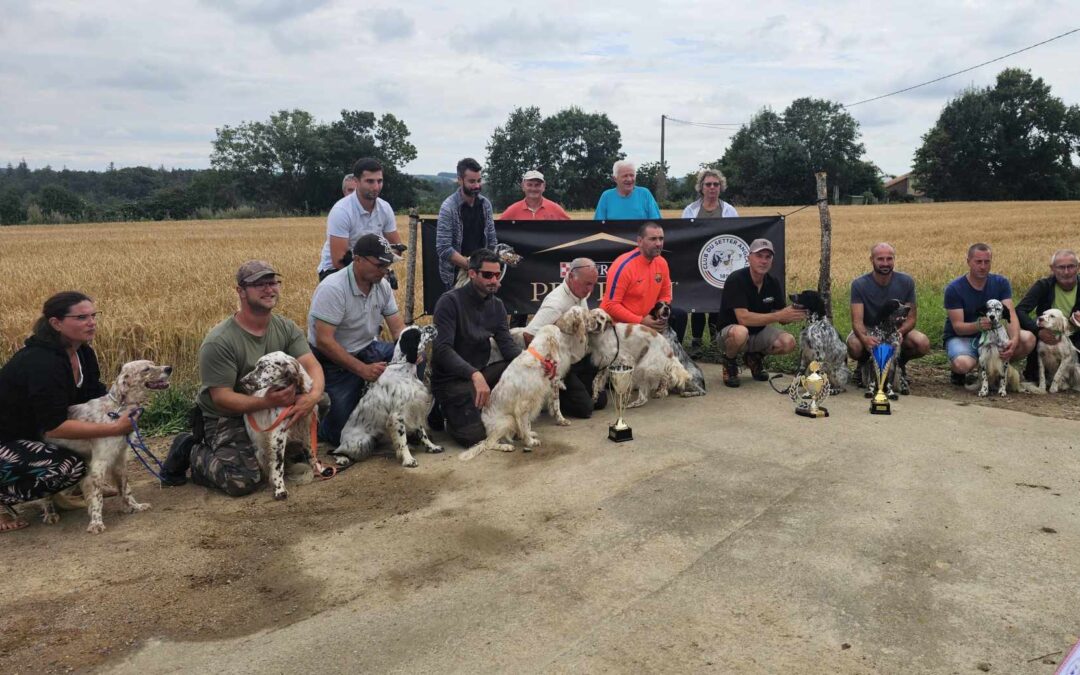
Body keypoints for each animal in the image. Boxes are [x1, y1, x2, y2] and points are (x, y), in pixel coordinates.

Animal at [332, 324, 442, 466]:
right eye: (419, 332)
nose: (434, 325)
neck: (404, 369)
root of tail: (342, 438)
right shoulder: (397, 416)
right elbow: (402, 441)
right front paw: (408, 459)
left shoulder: (415, 408)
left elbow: (422, 433)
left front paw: (432, 447)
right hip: (360, 442)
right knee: (336, 451)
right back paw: (342, 458)